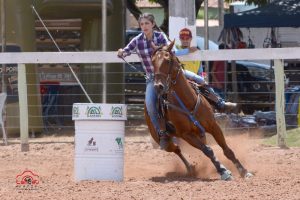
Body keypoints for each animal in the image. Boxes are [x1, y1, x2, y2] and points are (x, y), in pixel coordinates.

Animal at [144, 41, 252, 180]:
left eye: (167, 60)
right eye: (152, 62)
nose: (158, 86)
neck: (187, 102)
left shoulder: (213, 126)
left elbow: (227, 149)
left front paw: (243, 171)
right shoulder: (187, 135)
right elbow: (208, 150)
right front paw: (223, 171)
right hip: (164, 140)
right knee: (177, 149)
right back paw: (190, 168)